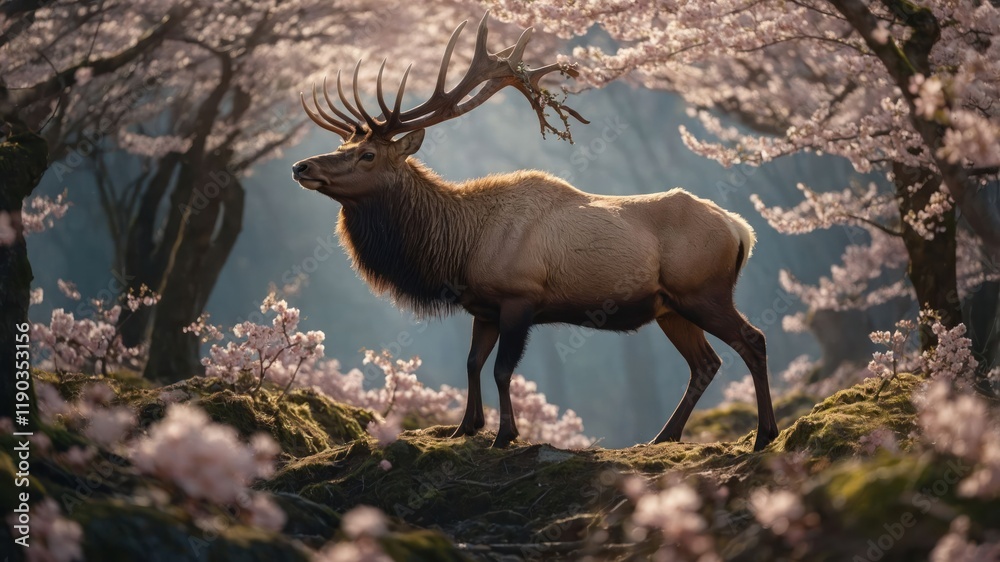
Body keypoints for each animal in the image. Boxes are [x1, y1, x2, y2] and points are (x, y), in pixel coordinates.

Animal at [291, 13, 779, 451]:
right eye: (343, 145)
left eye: (368, 154)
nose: (301, 167)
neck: (459, 248)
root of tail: (741, 230)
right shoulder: (483, 306)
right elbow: (471, 363)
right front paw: (464, 427)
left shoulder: (519, 295)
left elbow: (502, 369)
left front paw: (505, 434)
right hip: (671, 306)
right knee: (706, 363)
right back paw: (663, 436)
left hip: (703, 290)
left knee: (753, 340)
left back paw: (764, 435)